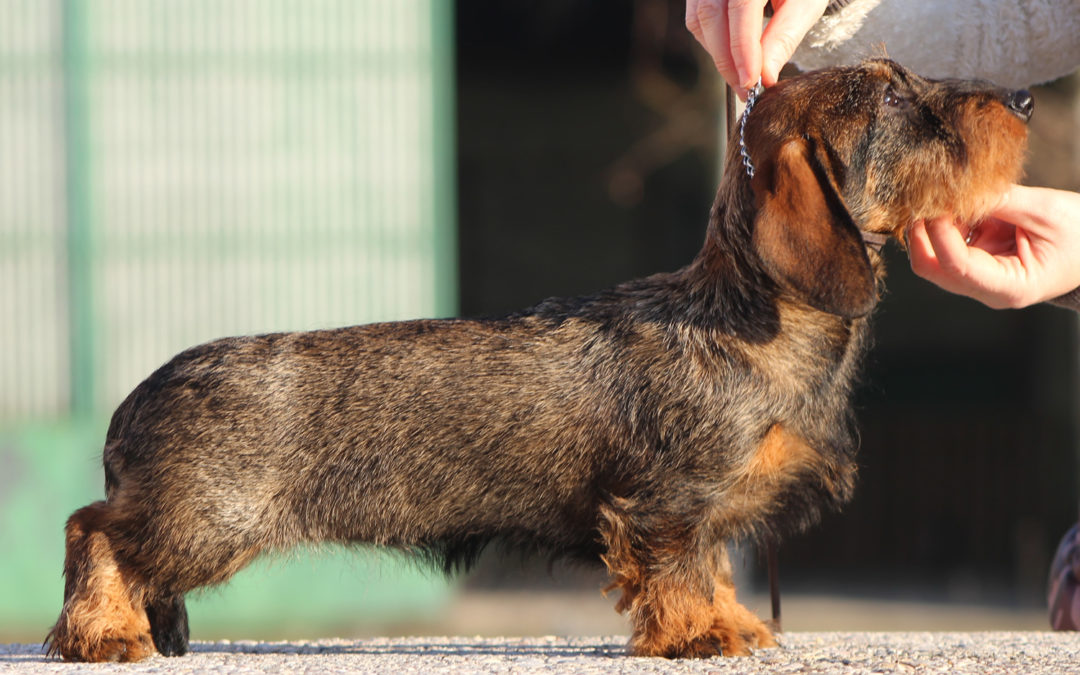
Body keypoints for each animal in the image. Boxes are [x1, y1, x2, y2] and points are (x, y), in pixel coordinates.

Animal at [48, 60, 1028, 660]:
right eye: (893, 99)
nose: (1021, 103)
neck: (750, 317)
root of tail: (137, 394)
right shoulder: (667, 501)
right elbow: (677, 566)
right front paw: (699, 632)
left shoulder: (707, 510)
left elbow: (712, 563)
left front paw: (732, 618)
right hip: (206, 519)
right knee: (91, 528)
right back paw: (101, 631)